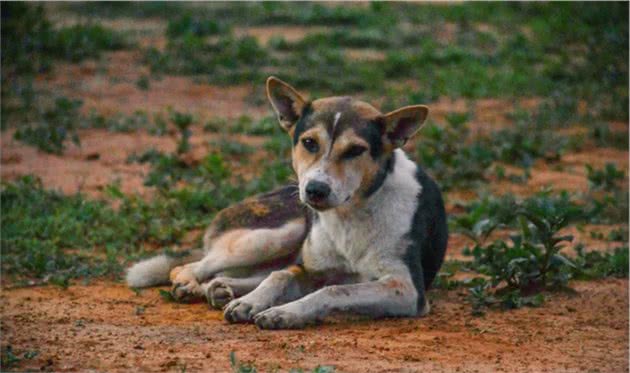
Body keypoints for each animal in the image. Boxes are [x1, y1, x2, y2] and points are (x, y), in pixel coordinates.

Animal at [126, 75, 446, 328]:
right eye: (309, 143)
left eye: (356, 150)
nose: (315, 190)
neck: (349, 215)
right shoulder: (311, 269)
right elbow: (281, 277)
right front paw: (253, 303)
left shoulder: (406, 289)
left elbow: (333, 290)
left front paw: (284, 312)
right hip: (275, 235)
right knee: (193, 266)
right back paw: (196, 285)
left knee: (239, 273)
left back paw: (219, 289)